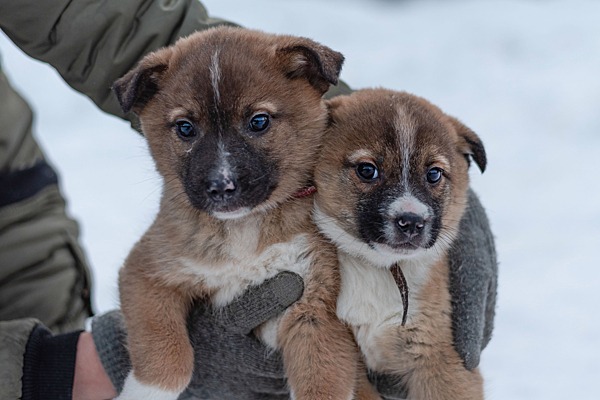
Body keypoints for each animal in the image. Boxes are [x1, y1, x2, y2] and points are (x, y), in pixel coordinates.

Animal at [112, 27, 366, 400]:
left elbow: (322, 383)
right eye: (185, 128)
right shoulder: (147, 272)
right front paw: (145, 393)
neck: (243, 231)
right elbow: (166, 354)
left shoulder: (315, 309)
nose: (221, 186)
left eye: (258, 121)